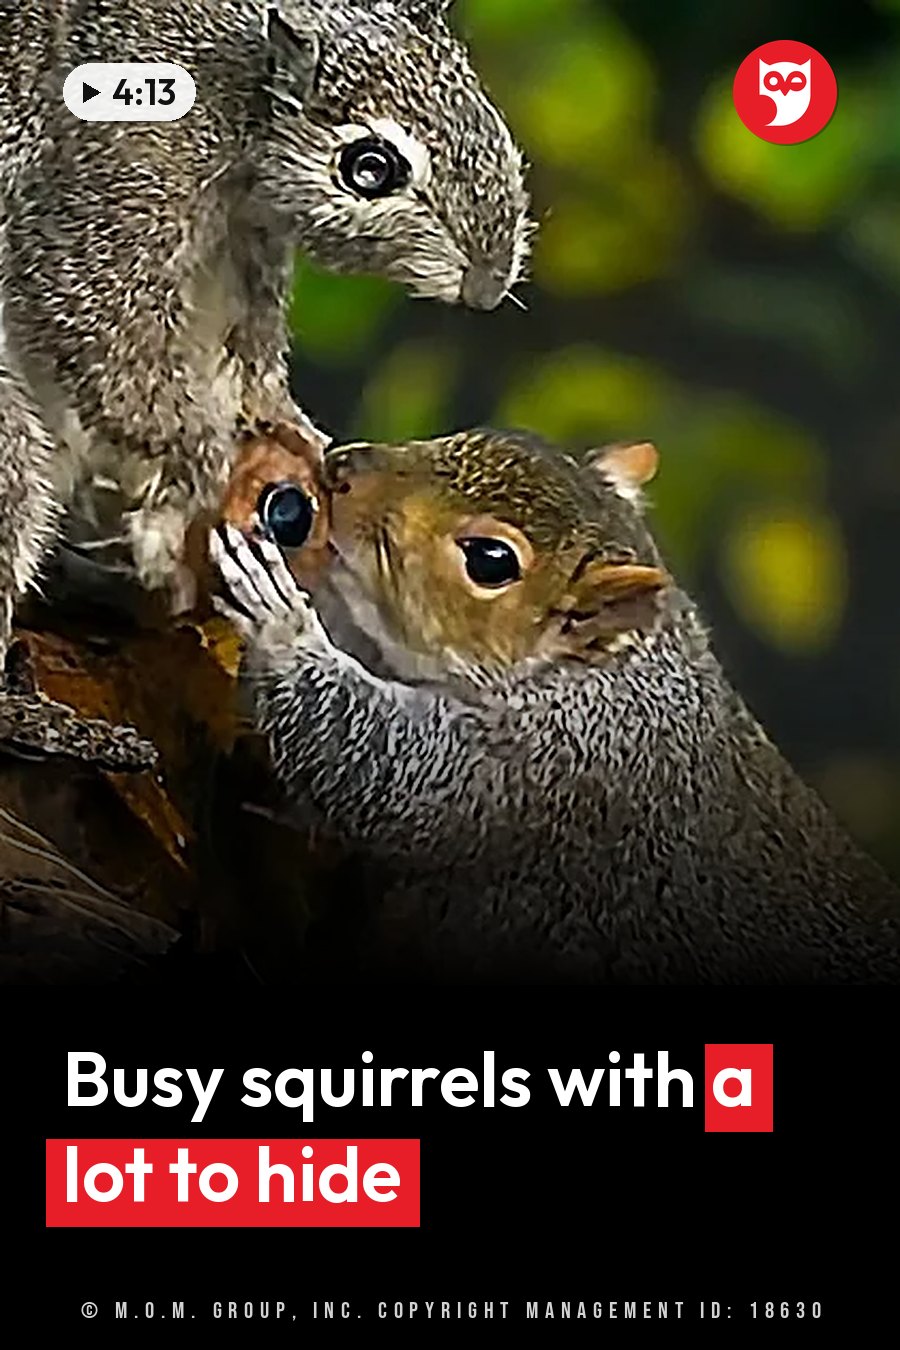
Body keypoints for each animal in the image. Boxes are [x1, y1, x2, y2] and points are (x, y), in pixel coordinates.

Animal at [0, 0, 530, 757]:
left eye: (493, 125)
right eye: (369, 168)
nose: (488, 287)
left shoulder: (244, 256)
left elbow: (247, 357)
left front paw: (292, 428)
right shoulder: (110, 192)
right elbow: (110, 334)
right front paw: (194, 481)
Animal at [210, 429, 900, 985]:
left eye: (490, 561)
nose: (342, 467)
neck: (611, 668)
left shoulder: (543, 766)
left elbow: (376, 767)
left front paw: (279, 618)